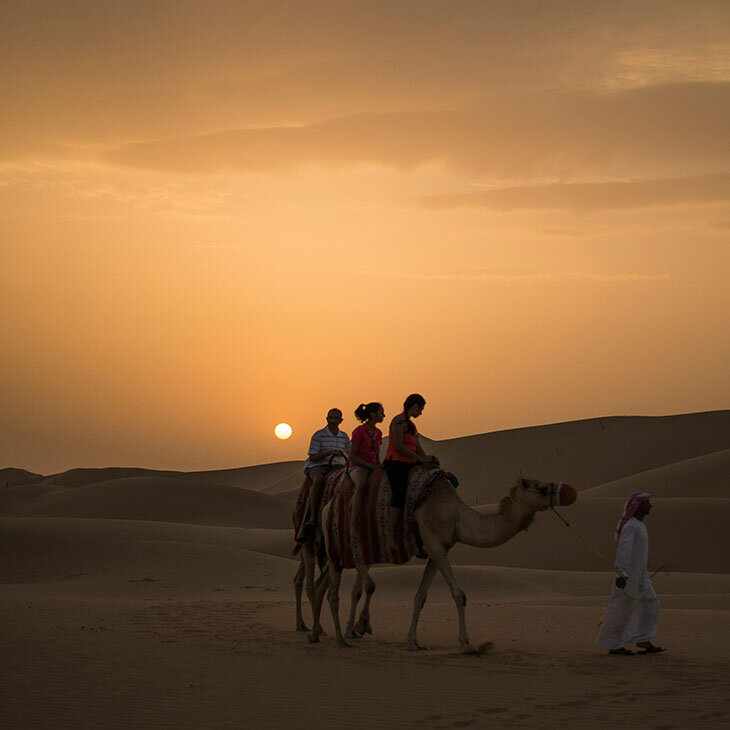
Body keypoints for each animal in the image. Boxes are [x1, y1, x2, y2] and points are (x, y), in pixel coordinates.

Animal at [308, 474, 576, 644]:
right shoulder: (435, 546)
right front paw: (464, 641)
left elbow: (420, 597)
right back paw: (346, 632)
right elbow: (460, 595)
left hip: (343, 553)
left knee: (329, 585)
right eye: (541, 487)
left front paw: (412, 641)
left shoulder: (438, 550)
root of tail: (327, 507)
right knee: (349, 586)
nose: (569, 492)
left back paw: (317, 633)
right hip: (337, 547)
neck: (457, 516)